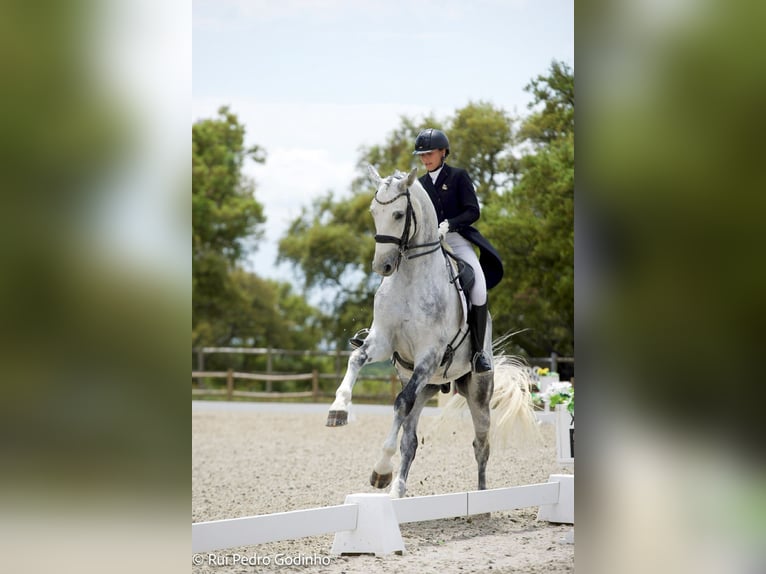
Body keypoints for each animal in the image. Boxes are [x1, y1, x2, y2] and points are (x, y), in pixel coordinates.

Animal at [326, 165, 536, 498]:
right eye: (373, 212)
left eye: (399, 214)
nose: (382, 266)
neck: (410, 277)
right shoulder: (383, 342)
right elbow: (356, 360)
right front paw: (338, 410)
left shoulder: (429, 355)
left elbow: (399, 402)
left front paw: (381, 466)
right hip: (426, 385)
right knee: (410, 438)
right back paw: (395, 489)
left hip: (477, 392)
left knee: (481, 444)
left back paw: (481, 496)